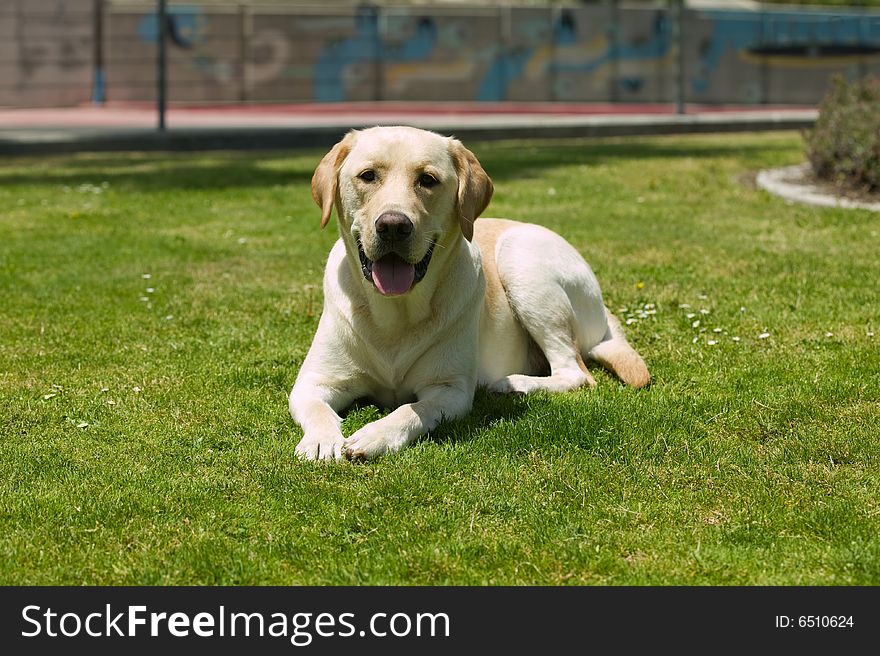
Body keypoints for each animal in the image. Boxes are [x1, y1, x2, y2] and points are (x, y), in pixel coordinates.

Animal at [288, 124, 648, 462]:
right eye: (367, 176)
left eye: (428, 180)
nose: (392, 226)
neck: (395, 313)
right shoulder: (313, 382)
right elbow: (317, 409)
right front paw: (322, 441)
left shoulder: (451, 390)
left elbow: (411, 411)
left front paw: (376, 434)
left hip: (522, 261)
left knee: (575, 372)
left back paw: (514, 384)